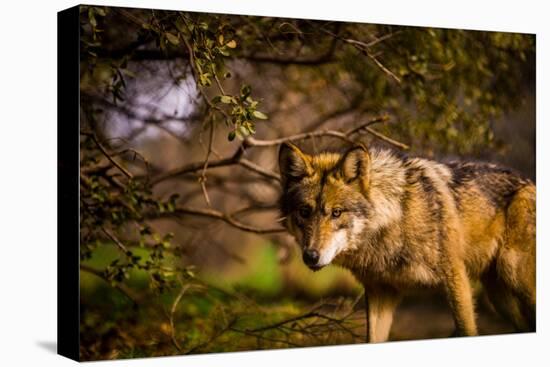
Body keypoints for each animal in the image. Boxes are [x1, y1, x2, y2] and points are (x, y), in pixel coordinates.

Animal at [278, 142, 536, 344]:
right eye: (304, 212)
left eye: (336, 213)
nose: (311, 256)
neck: (397, 216)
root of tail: (530, 182)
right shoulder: (380, 292)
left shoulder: (455, 277)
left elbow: (466, 329)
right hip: (500, 297)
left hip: (513, 274)